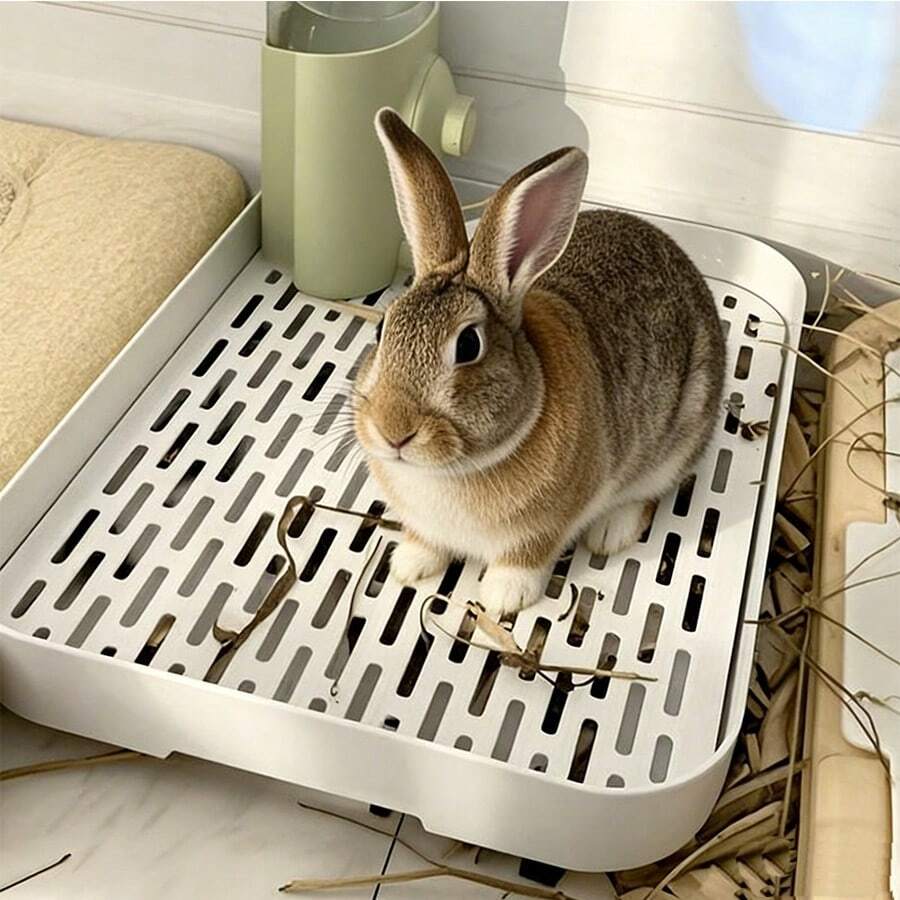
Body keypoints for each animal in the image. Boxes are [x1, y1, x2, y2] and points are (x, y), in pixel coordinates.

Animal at [352, 108, 726, 619]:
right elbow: (425, 541)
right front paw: (408, 564)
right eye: (382, 329)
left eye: (468, 345)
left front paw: (503, 597)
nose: (393, 431)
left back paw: (610, 532)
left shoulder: (543, 529)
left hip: (678, 436)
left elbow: (525, 559)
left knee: (651, 492)